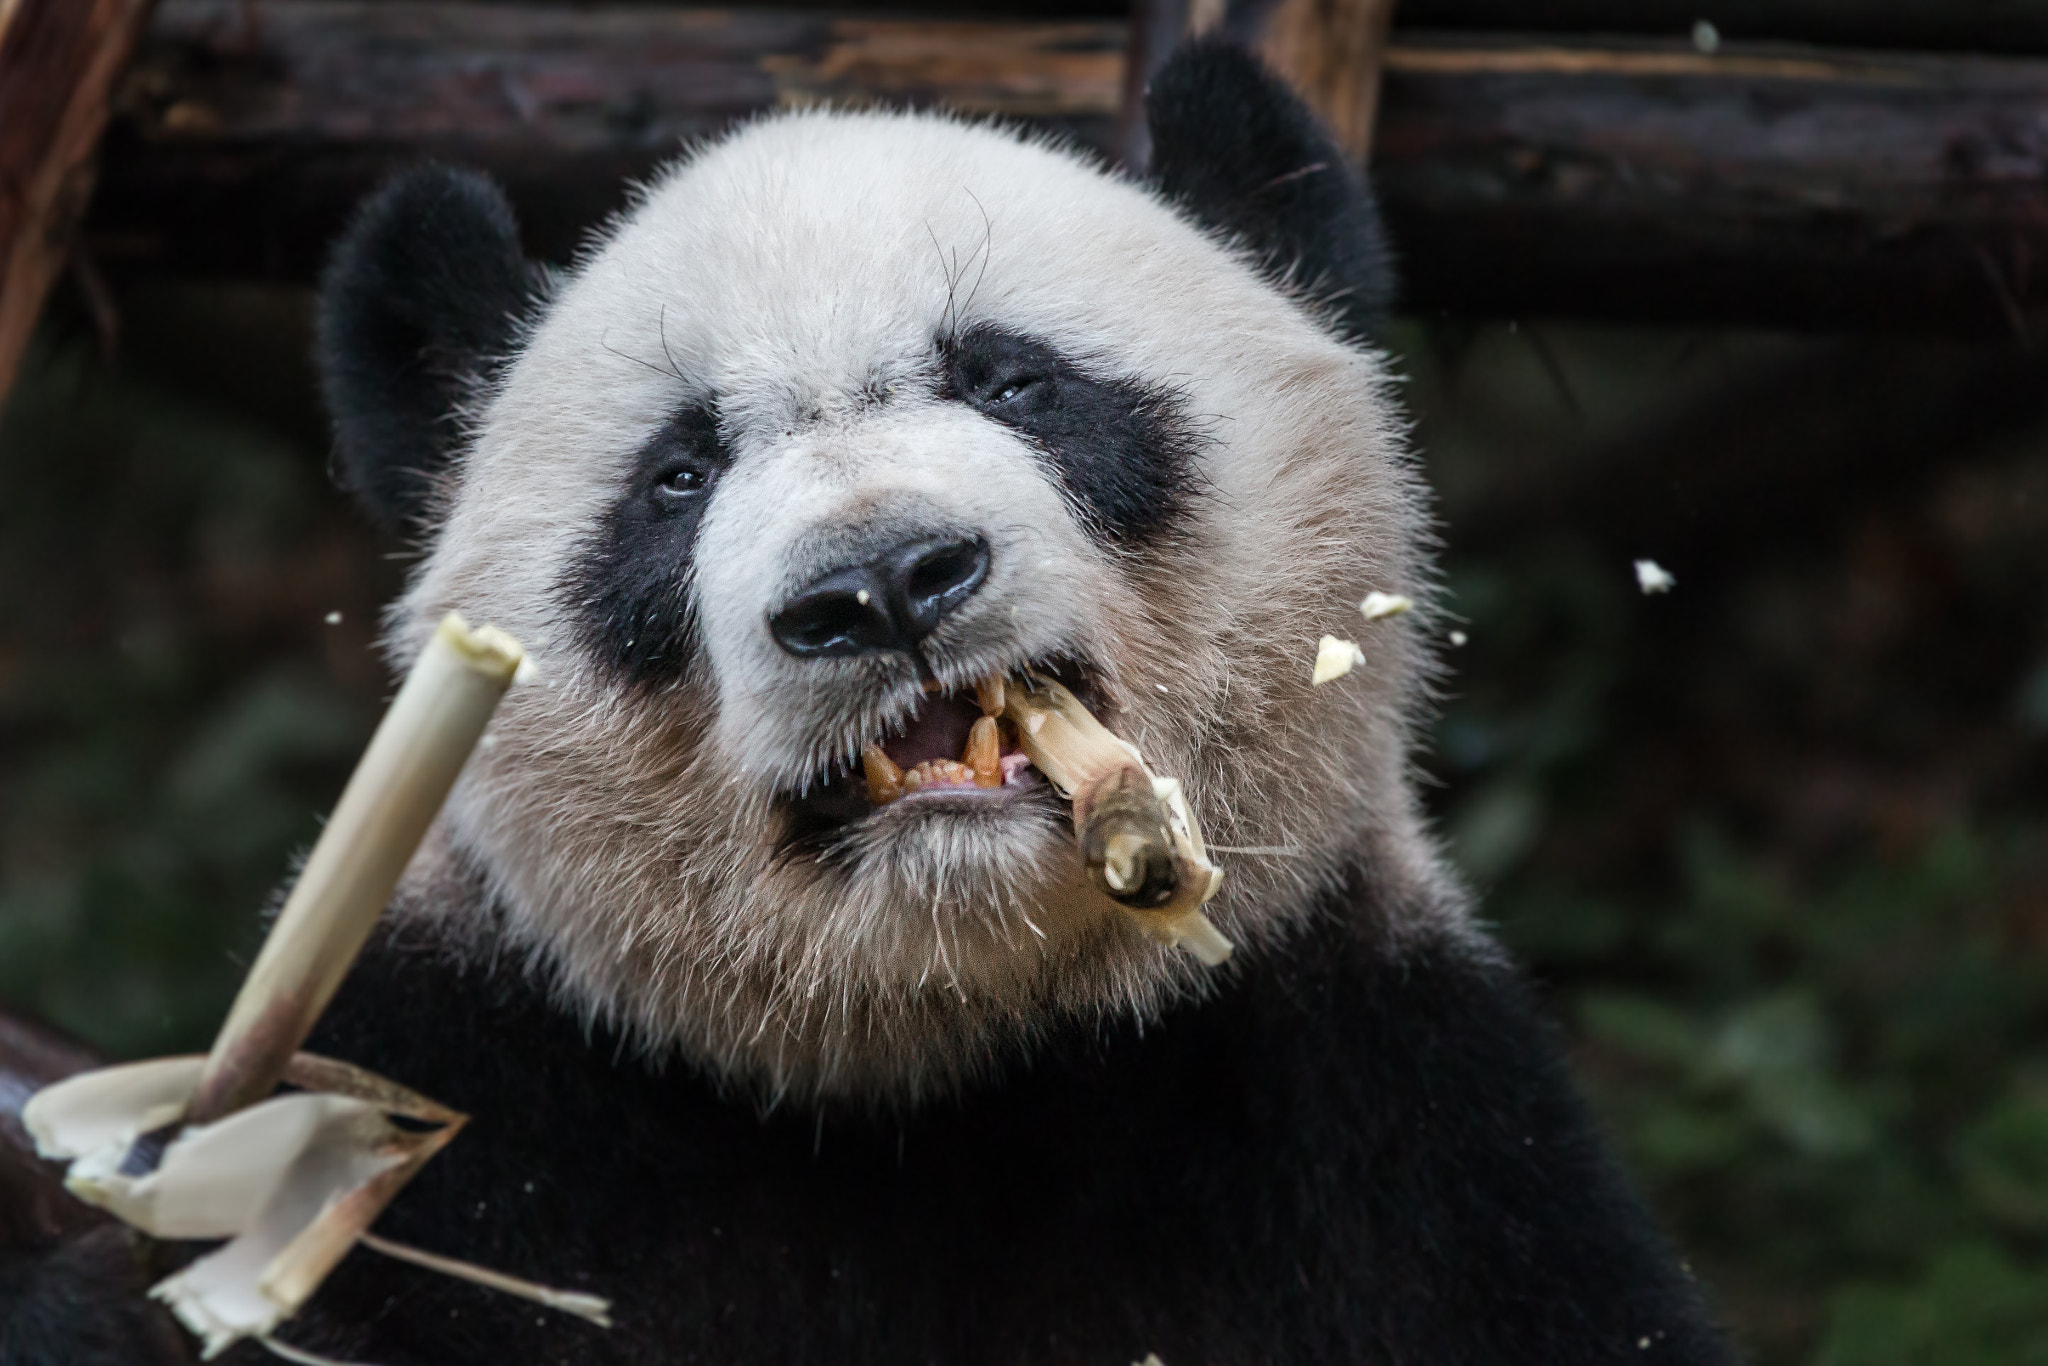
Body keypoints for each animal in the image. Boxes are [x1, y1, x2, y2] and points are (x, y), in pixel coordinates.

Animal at [3, 38, 1732, 1366]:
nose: (883, 585)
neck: (946, 1081)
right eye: (679, 475)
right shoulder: (470, 1125)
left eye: (1012, 378)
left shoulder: (1379, 1129)